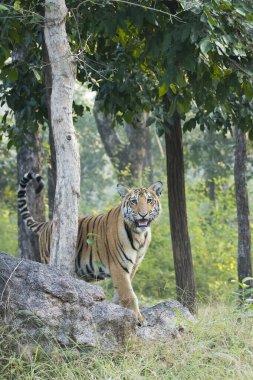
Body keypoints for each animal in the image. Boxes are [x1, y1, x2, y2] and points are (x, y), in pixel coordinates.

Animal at [18, 171, 164, 322]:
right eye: (133, 201)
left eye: (149, 200)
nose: (143, 214)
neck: (139, 235)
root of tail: (47, 224)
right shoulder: (119, 266)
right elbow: (128, 294)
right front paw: (136, 318)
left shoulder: (134, 265)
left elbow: (120, 292)